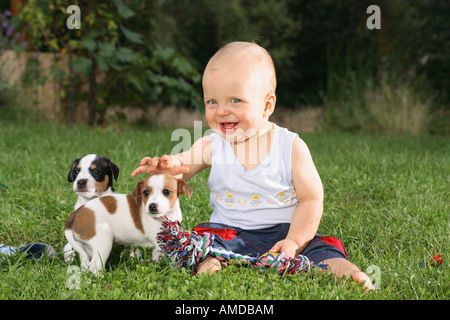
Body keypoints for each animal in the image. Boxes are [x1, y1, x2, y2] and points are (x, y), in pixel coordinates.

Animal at [62, 171, 192, 274]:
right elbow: (172, 258)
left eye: (166, 192)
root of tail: (73, 216)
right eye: (145, 192)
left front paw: (156, 262)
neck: (167, 214)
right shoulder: (160, 243)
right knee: (95, 267)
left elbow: (156, 254)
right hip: (103, 242)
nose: (152, 206)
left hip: (84, 247)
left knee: (85, 264)